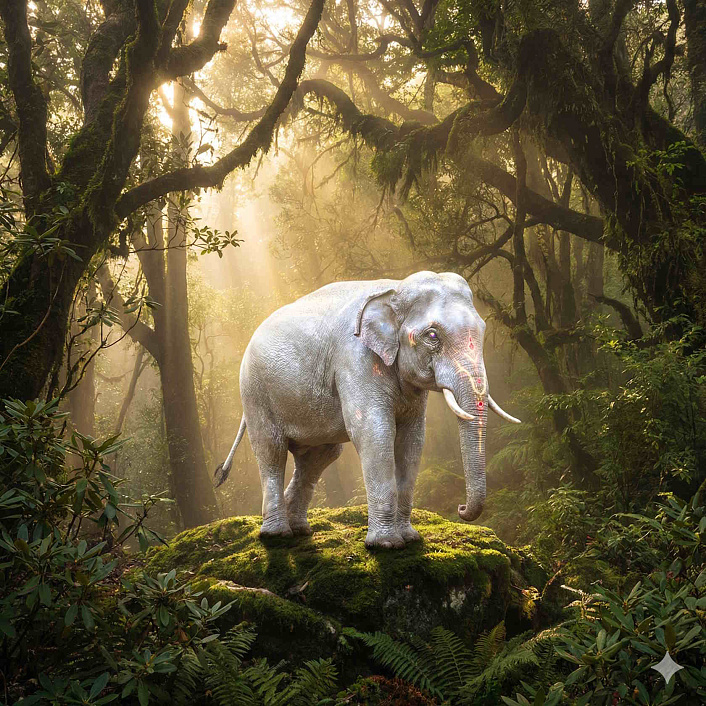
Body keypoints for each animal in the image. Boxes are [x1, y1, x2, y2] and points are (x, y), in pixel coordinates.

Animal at [214, 271, 521, 549]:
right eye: (432, 335)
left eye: (482, 330)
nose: (460, 508)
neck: (395, 288)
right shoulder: (355, 359)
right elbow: (374, 433)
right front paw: (386, 545)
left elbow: (412, 439)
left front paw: (410, 538)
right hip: (255, 393)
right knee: (271, 450)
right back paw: (276, 536)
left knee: (320, 456)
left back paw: (301, 530)